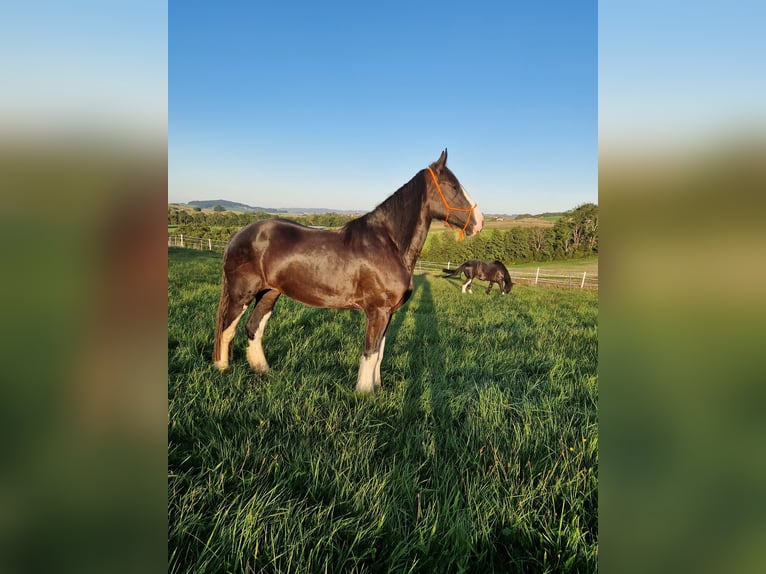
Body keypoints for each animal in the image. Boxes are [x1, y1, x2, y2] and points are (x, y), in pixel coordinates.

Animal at [213, 148, 484, 394]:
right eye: (453, 187)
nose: (479, 223)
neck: (389, 243)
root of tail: (239, 234)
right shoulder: (377, 312)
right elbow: (370, 353)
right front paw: (364, 393)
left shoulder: (389, 313)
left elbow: (379, 353)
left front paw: (376, 389)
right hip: (241, 294)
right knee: (227, 328)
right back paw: (222, 368)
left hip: (269, 293)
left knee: (253, 328)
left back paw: (262, 370)